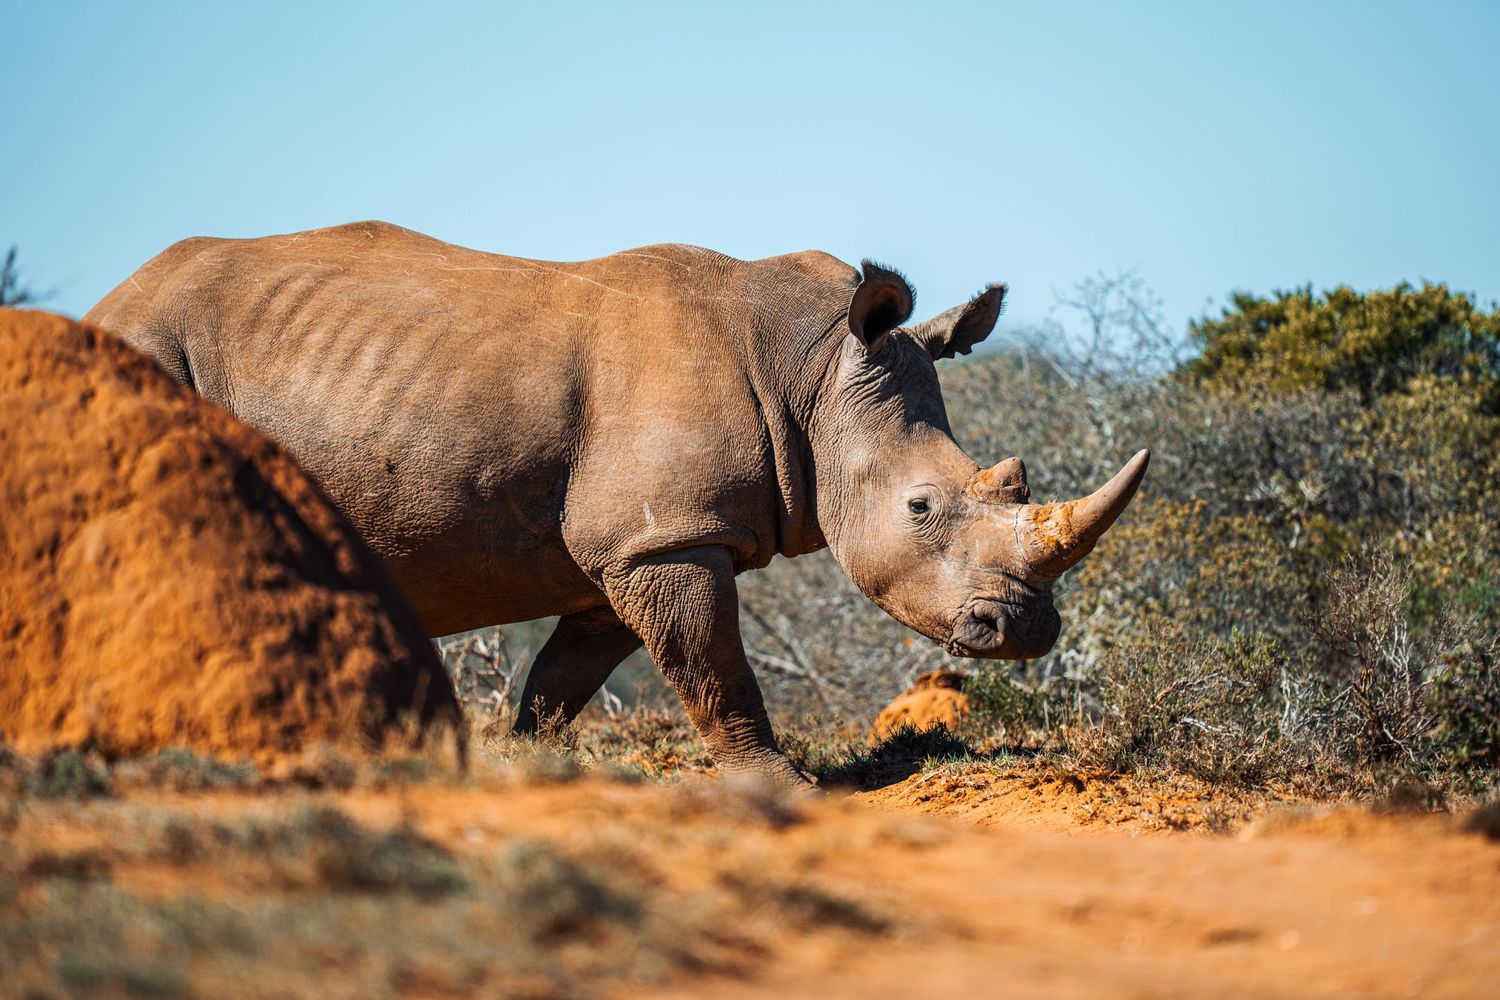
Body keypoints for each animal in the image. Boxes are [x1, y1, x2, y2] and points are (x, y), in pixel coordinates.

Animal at [87, 221, 1148, 785]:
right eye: (923, 508)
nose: (1026, 631)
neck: (812, 368)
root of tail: (106, 302)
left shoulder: (625, 547)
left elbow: (569, 674)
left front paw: (525, 764)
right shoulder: (666, 537)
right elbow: (715, 666)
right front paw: (783, 784)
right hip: (148, 348)